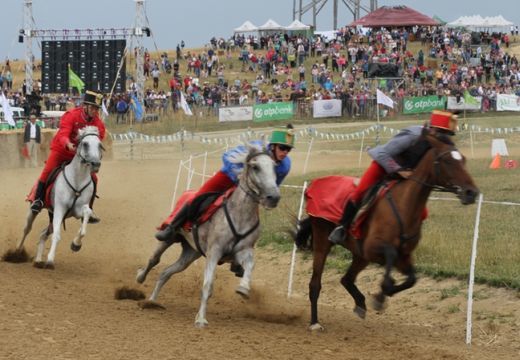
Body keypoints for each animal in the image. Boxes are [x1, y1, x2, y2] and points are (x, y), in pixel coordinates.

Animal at [16, 125, 103, 268]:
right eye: (85, 144)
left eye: (100, 145)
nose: (95, 164)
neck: (77, 179)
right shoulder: (60, 209)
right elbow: (56, 235)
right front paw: (50, 260)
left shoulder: (77, 211)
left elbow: (85, 219)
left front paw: (76, 244)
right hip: (35, 211)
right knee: (26, 229)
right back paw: (17, 252)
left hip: (54, 216)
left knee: (43, 234)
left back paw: (38, 260)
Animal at [135, 143, 280, 326]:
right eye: (255, 167)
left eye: (275, 167)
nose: (273, 197)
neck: (239, 214)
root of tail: (188, 192)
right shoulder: (214, 252)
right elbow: (207, 286)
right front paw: (201, 319)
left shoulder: (244, 250)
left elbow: (250, 266)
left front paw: (244, 288)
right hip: (169, 239)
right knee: (154, 259)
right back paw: (140, 277)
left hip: (190, 253)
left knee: (166, 272)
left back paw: (152, 301)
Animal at [292, 131, 480, 330]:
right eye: (448, 161)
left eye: (463, 160)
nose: (471, 192)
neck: (404, 205)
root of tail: (314, 185)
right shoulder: (372, 248)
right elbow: (390, 255)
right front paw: (383, 293)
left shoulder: (403, 256)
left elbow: (412, 279)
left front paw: (384, 292)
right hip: (323, 241)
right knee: (315, 284)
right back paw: (315, 322)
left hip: (360, 255)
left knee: (346, 279)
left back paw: (360, 303)